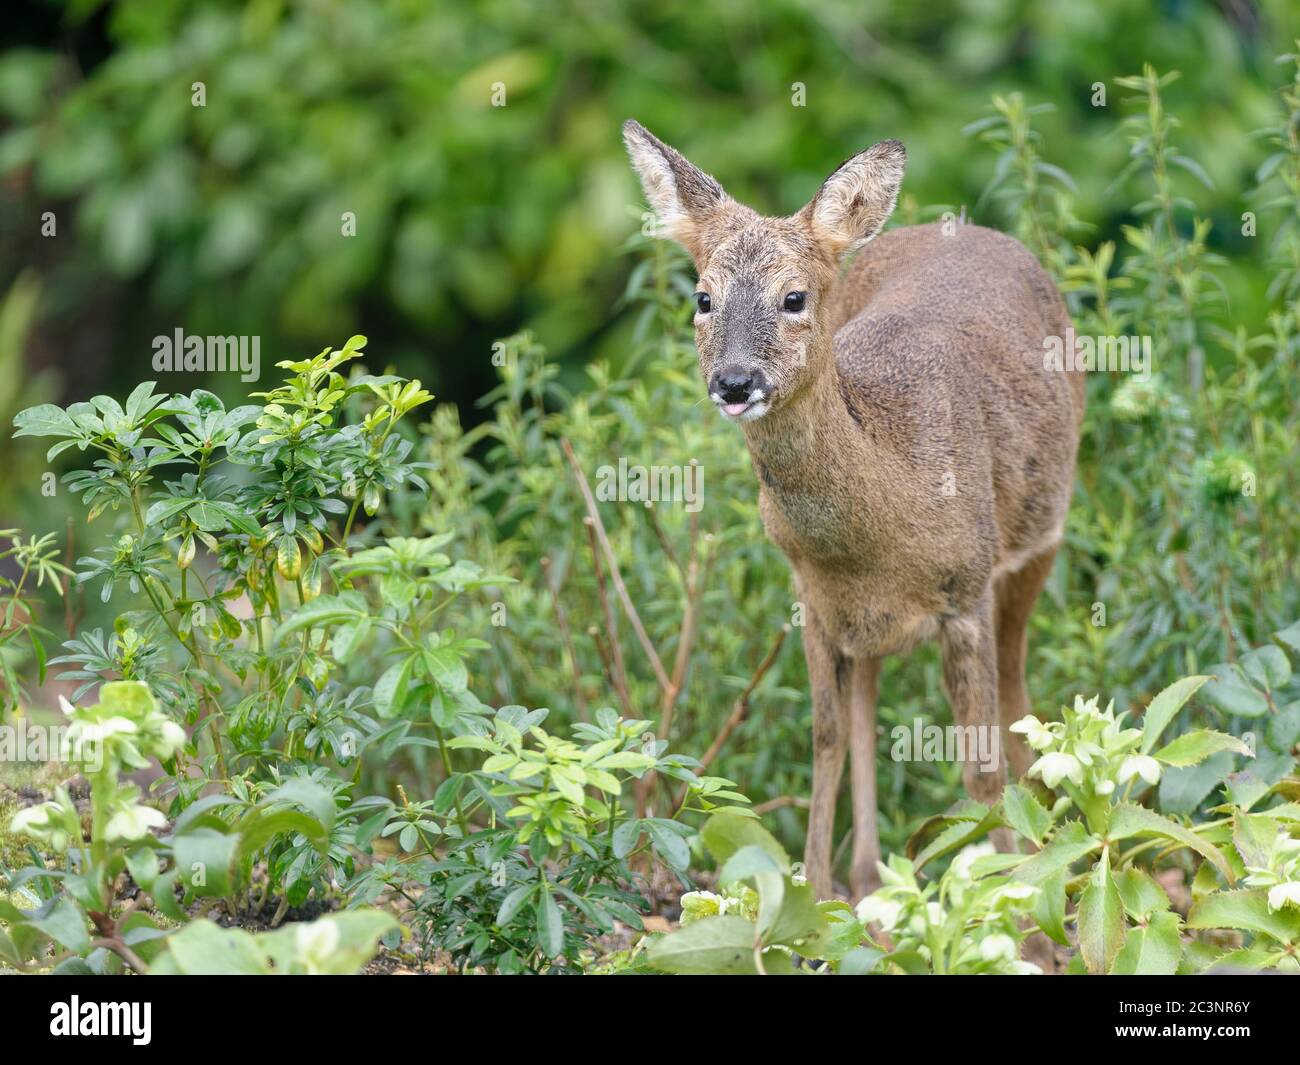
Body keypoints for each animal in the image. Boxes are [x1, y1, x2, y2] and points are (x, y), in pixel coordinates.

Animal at [624, 118, 1081, 899]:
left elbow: (980, 766)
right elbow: (828, 739)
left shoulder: (966, 591)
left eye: (794, 297)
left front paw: (1009, 904)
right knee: (869, 698)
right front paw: (811, 892)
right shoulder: (814, 598)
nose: (735, 381)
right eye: (703, 297)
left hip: (1040, 538)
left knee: (1018, 683)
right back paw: (869, 874)